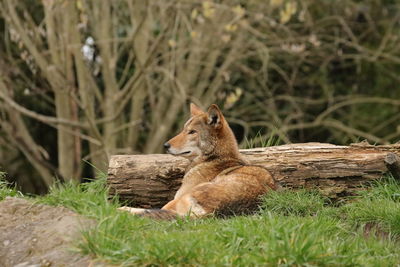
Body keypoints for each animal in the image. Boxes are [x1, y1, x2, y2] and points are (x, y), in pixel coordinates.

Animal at [117, 103, 276, 220]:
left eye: (192, 132)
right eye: (183, 130)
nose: (165, 145)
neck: (214, 158)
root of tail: (212, 213)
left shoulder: (175, 200)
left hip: (179, 200)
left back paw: (122, 209)